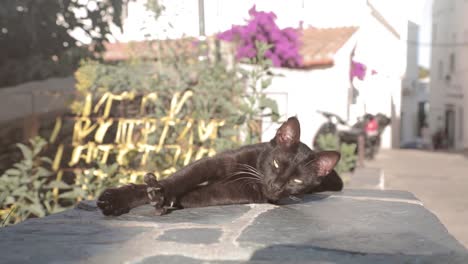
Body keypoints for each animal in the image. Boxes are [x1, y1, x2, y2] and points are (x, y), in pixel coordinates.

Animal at [97, 116, 342, 216]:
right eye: (275, 163)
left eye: (296, 181)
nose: (275, 186)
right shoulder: (215, 162)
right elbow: (181, 178)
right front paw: (118, 198)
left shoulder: (237, 193)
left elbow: (198, 194)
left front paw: (167, 200)